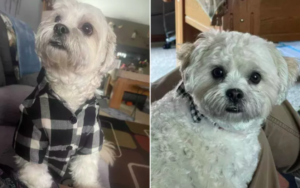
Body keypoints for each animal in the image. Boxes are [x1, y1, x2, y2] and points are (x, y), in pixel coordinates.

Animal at [12, 0, 115, 187]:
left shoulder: (91, 141)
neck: (68, 89)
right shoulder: (30, 136)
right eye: (57, 18)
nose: (59, 27)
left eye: (87, 28)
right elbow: (37, 175)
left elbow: (85, 175)